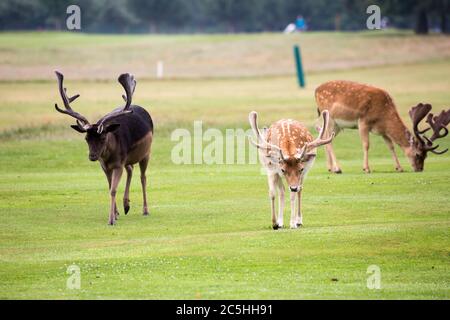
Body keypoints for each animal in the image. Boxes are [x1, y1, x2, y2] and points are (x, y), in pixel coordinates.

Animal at [53, 70, 153, 225]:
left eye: (103, 137)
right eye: (86, 138)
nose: (92, 156)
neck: (109, 156)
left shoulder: (118, 164)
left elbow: (113, 190)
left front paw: (111, 219)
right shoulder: (105, 166)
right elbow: (109, 187)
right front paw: (116, 213)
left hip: (146, 153)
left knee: (143, 177)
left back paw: (145, 210)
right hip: (128, 159)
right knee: (130, 169)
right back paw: (126, 205)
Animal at [314, 81, 448, 174]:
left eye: (426, 156)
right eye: (418, 154)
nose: (419, 169)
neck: (383, 115)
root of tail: (316, 90)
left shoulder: (383, 131)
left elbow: (391, 146)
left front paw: (399, 167)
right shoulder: (363, 121)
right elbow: (366, 145)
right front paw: (366, 168)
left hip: (337, 125)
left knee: (323, 135)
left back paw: (330, 168)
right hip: (330, 117)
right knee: (327, 139)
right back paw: (338, 169)